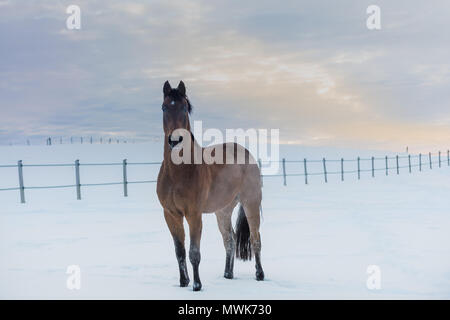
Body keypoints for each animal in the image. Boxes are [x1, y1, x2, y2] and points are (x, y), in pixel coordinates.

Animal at [157, 81, 266, 292]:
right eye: (164, 107)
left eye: (184, 107)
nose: (175, 141)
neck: (178, 172)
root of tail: (247, 153)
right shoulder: (171, 214)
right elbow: (179, 251)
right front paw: (183, 282)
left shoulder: (193, 214)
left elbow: (194, 252)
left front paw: (197, 285)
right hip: (223, 210)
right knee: (230, 240)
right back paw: (228, 274)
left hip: (251, 203)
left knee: (255, 239)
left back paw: (260, 275)